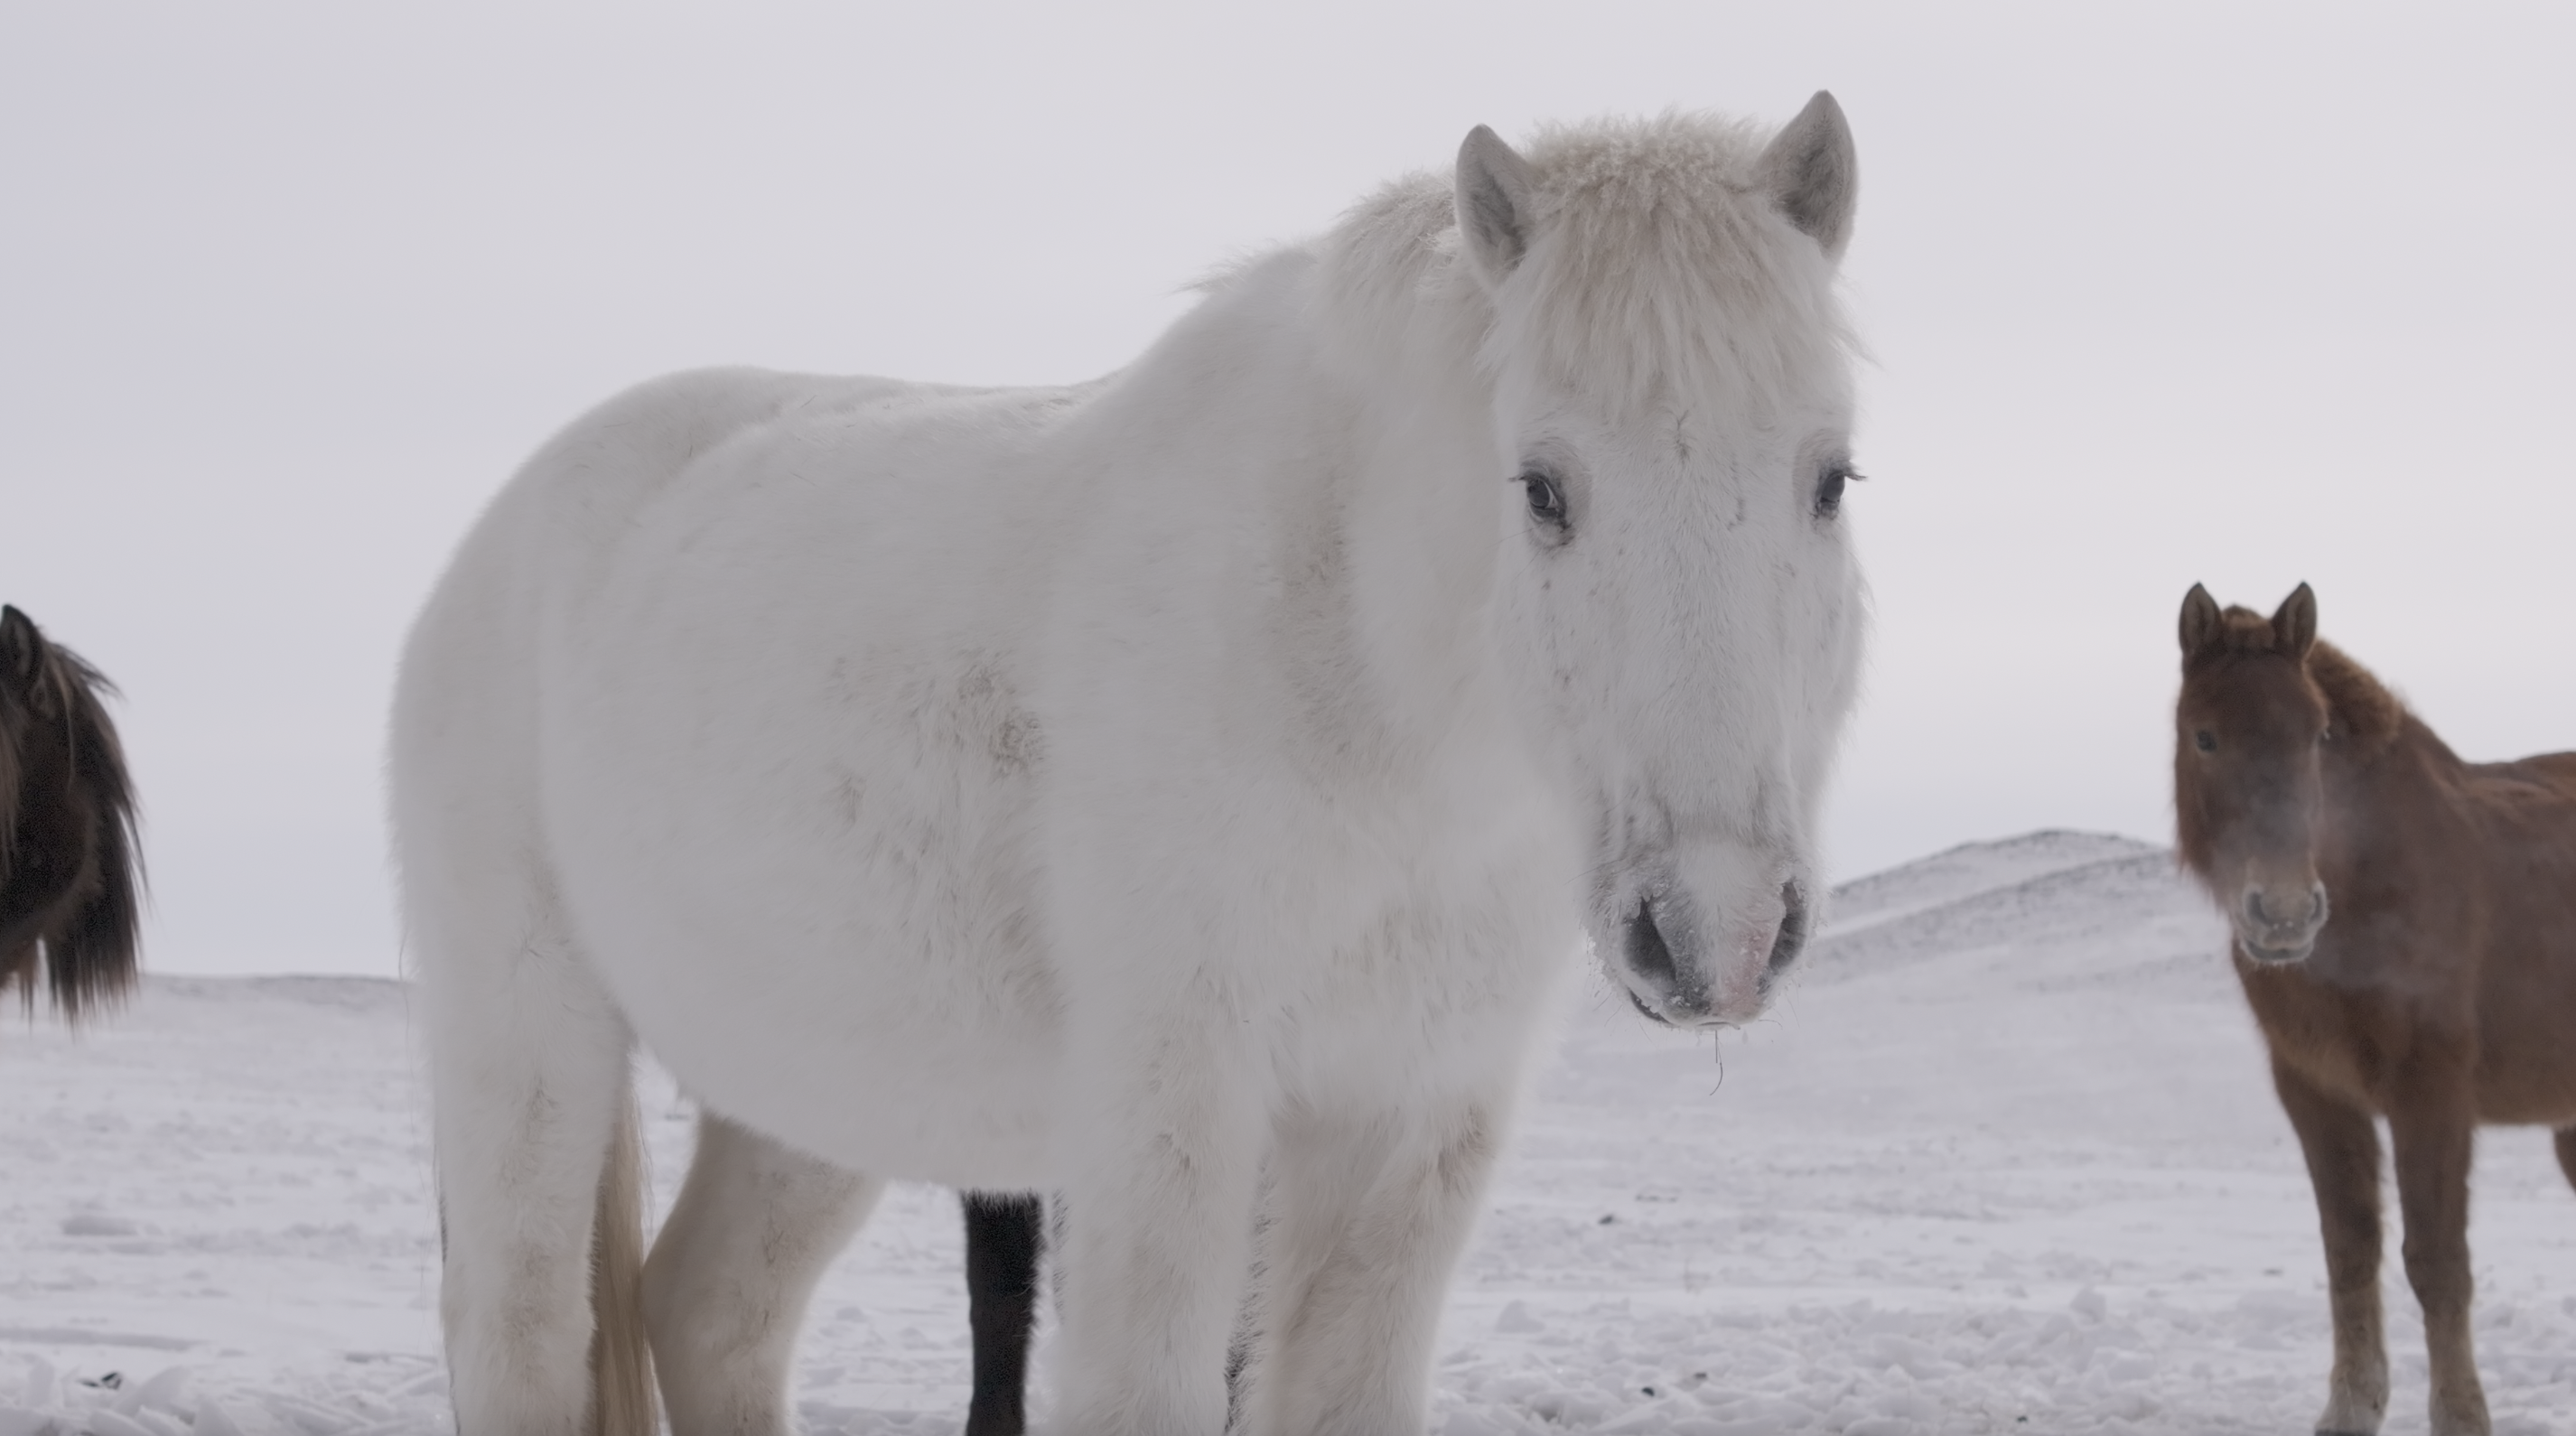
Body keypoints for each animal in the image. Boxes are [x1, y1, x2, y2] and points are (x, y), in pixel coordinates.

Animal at [391, 96, 1864, 1431]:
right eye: (1543, 488)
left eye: (1831, 478)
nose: (1719, 931)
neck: (1365, 695)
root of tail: (498, 538)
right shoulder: (1170, 1123)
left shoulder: (1405, 1127)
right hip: (526, 1035)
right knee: (521, 1329)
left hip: (804, 1086)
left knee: (708, 1311)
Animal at [2174, 586, 2576, 1436]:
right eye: (2205, 736)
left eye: (2317, 734)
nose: (2285, 915)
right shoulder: (2316, 1092)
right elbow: (2350, 1249)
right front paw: (2351, 1407)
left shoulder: (2432, 1090)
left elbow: (2436, 1260)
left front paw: (2461, 1416)